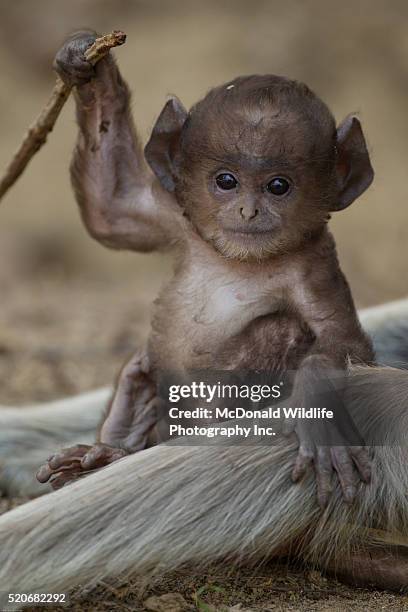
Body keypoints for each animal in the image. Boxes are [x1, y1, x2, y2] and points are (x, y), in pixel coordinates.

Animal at [36, 29, 374, 506]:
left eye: (278, 186)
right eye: (226, 181)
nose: (248, 210)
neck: (239, 260)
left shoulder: (315, 265)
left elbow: (344, 341)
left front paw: (321, 422)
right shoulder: (181, 218)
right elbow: (112, 208)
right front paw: (85, 63)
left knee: (278, 330)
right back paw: (110, 449)